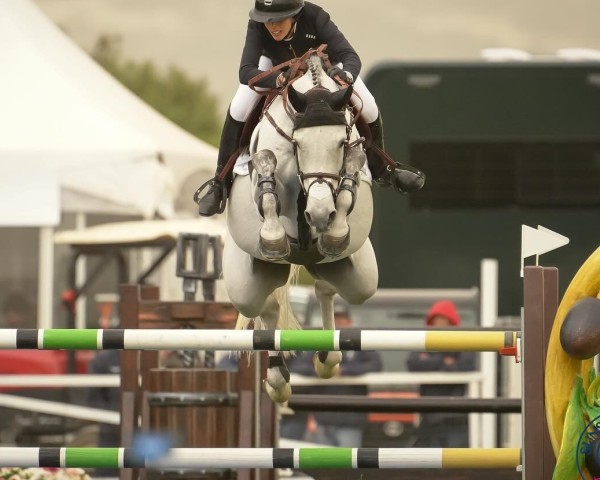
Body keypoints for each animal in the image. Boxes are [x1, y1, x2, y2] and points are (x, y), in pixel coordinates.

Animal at [223, 52, 378, 404]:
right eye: (297, 142)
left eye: (340, 142)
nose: (319, 214)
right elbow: (267, 183)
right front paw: (275, 238)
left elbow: (347, 186)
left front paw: (334, 231)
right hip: (244, 283)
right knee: (267, 308)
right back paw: (277, 380)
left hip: (360, 274)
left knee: (327, 289)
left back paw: (326, 358)